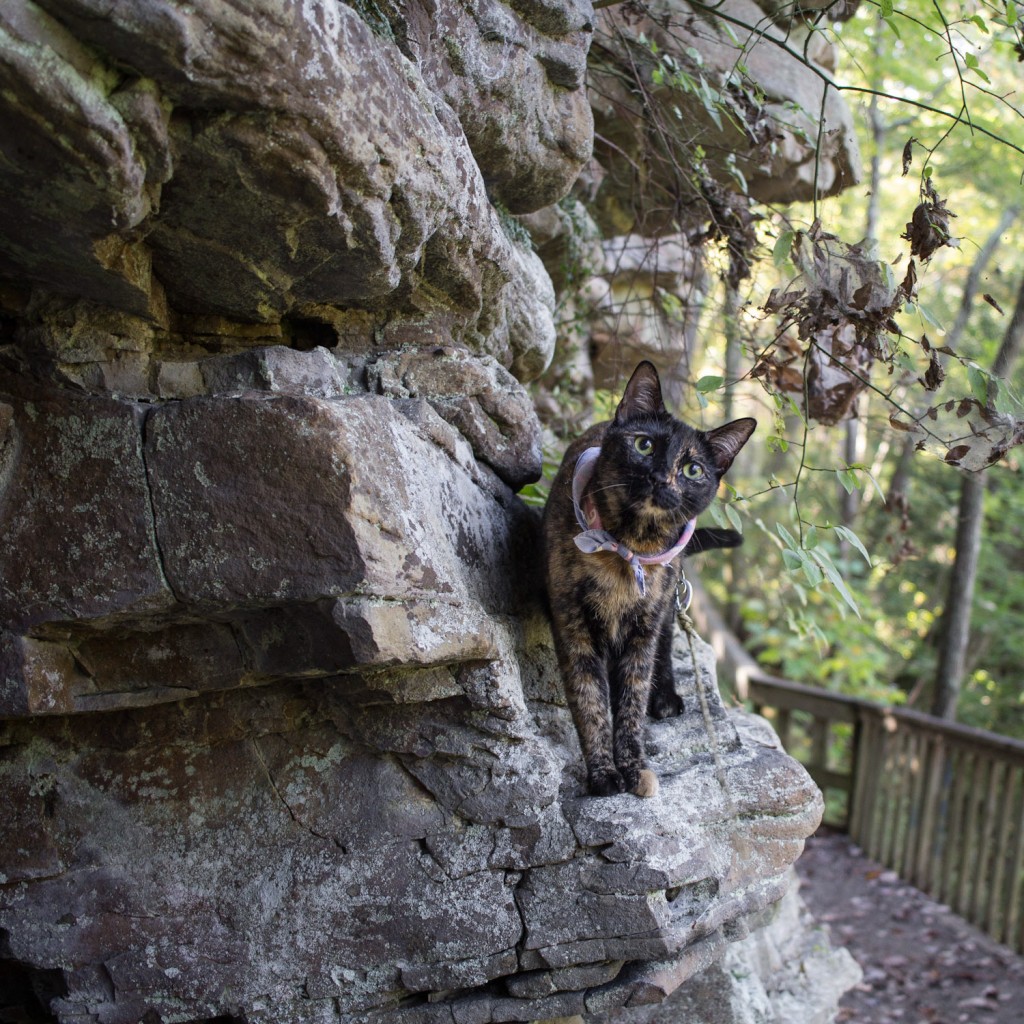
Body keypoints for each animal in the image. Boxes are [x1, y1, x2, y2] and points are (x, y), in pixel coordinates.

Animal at [544, 360, 753, 798]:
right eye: (644, 446)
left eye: (692, 469)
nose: (661, 479)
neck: (629, 548)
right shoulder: (575, 629)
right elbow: (590, 701)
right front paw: (603, 773)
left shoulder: (644, 629)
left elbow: (632, 703)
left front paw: (633, 766)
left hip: (669, 599)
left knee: (668, 642)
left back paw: (667, 695)